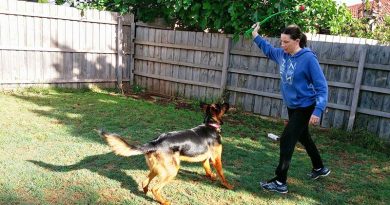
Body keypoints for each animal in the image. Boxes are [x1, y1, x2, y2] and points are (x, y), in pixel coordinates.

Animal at [99, 102, 233, 205]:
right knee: (155, 188)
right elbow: (221, 173)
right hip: (172, 171)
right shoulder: (216, 158)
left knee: (145, 182)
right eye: (221, 105)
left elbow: (208, 169)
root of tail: (155, 142)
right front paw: (228, 186)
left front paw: (211, 177)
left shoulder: (205, 159)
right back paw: (164, 202)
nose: (228, 103)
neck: (210, 124)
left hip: (157, 168)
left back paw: (145, 192)